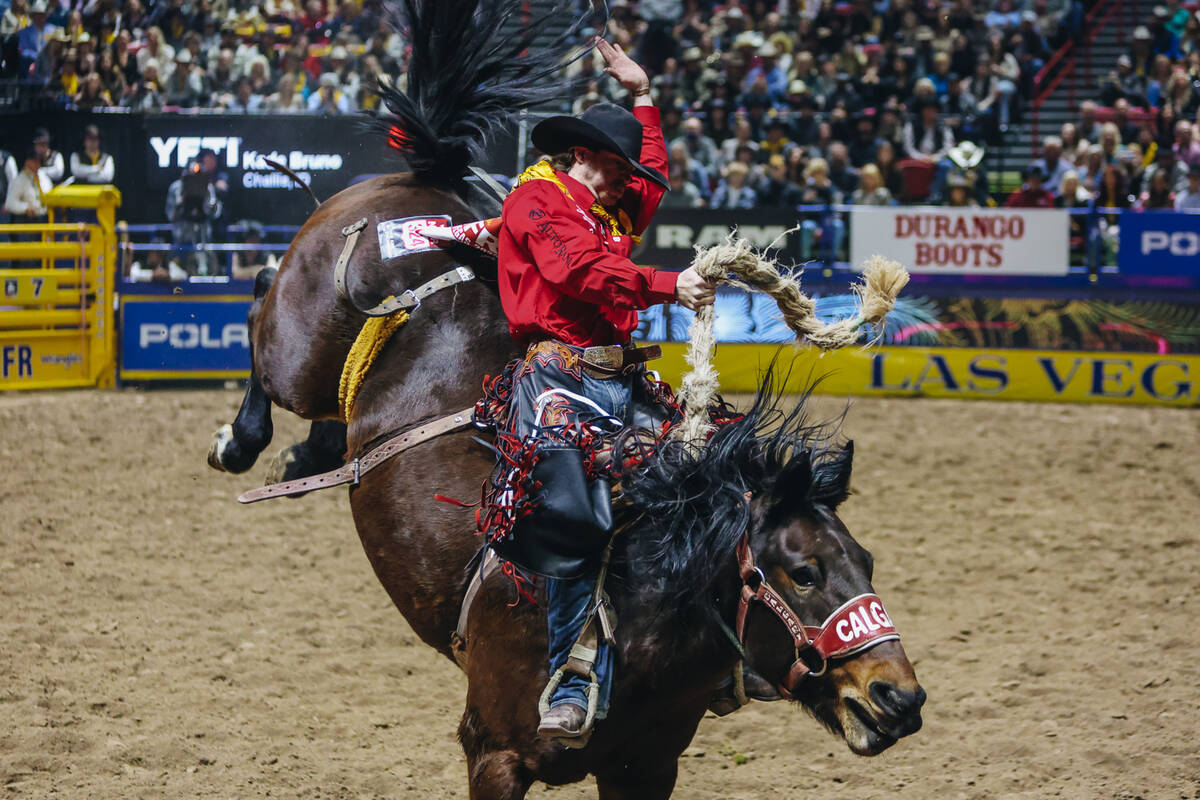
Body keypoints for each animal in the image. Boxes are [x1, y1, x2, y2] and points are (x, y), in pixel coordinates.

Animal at [206, 3, 926, 796]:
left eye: (867, 562)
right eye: (802, 574)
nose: (900, 698)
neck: (640, 596)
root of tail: (428, 182)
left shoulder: (647, 765)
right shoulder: (493, 752)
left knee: (325, 407)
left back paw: (312, 452)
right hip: (297, 345)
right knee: (254, 309)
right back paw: (239, 442)